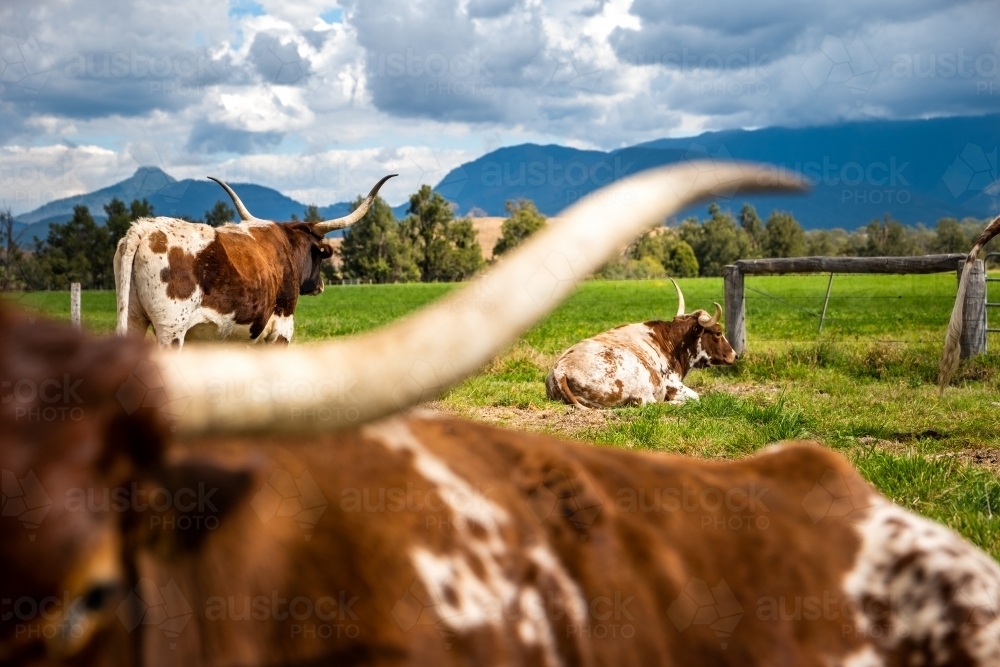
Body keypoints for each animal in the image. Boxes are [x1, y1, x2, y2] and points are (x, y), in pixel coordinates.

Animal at [115, 172, 396, 350]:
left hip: (133, 319)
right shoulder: (282, 328)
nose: (320, 286)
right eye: (319, 256)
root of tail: (144, 229)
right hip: (170, 330)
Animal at [548, 280, 736, 410]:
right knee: (645, 403)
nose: (734, 355)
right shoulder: (672, 384)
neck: (671, 343)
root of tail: (560, 371)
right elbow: (696, 397)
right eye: (718, 332)